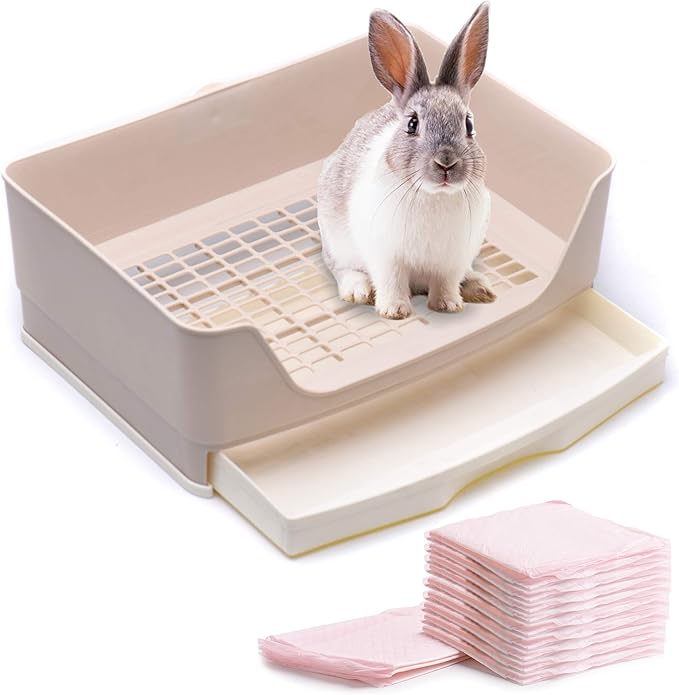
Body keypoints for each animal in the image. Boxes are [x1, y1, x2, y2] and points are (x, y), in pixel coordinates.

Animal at [318, 2, 495, 319]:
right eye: (412, 124)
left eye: (469, 124)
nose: (446, 163)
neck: (434, 195)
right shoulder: (386, 257)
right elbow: (391, 281)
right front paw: (394, 311)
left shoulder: (452, 260)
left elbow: (446, 283)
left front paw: (448, 306)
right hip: (336, 243)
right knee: (342, 269)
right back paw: (357, 291)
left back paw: (479, 288)